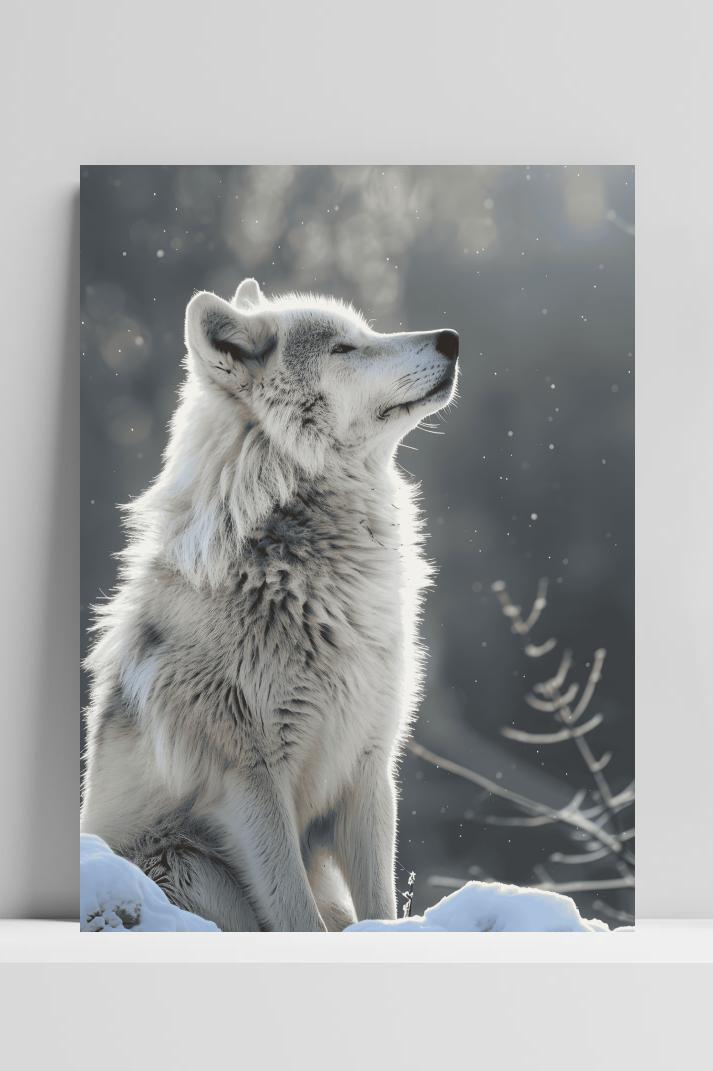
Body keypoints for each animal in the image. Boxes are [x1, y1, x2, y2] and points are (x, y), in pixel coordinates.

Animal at [81, 277, 459, 931]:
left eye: (368, 331)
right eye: (343, 348)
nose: (452, 338)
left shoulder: (369, 766)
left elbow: (379, 908)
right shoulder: (250, 781)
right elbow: (298, 916)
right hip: (184, 864)